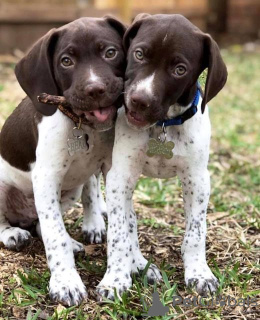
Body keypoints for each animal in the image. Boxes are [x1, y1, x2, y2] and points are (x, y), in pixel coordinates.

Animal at [0, 16, 126, 306]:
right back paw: (12, 233)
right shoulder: (46, 178)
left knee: (40, 223)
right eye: (66, 61)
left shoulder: (111, 169)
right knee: (14, 223)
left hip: (69, 192)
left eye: (110, 52)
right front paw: (65, 283)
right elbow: (54, 237)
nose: (95, 89)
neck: (83, 125)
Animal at [97, 13, 228, 300]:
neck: (163, 124)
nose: (138, 100)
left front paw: (199, 273)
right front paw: (115, 279)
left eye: (179, 69)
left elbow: (196, 232)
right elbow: (119, 234)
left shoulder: (198, 180)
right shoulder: (120, 176)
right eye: (139, 54)